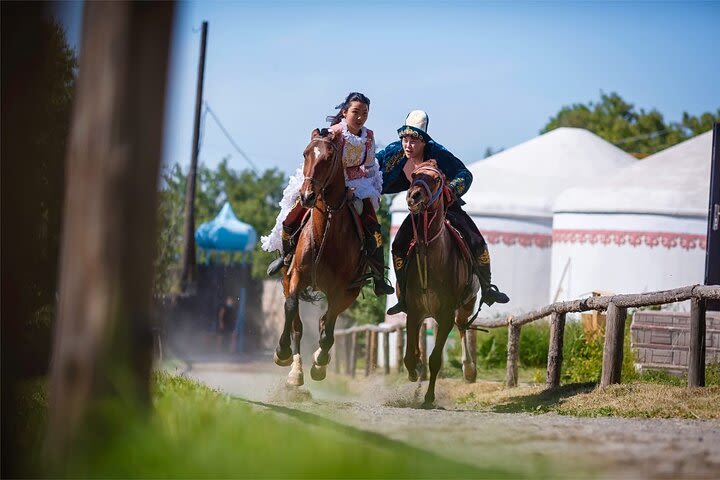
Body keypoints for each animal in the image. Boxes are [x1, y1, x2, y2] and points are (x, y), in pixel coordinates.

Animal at [276, 127, 366, 386]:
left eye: (328, 158)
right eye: (306, 153)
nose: (307, 196)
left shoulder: (341, 290)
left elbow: (329, 327)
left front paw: (320, 362)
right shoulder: (296, 276)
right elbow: (291, 309)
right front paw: (282, 351)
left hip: (350, 293)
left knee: (325, 322)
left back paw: (317, 361)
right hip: (287, 280)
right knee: (298, 324)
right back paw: (295, 371)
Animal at [404, 159, 478, 406]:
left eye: (437, 179)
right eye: (414, 175)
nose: (414, 196)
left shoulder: (445, 315)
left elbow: (435, 358)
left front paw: (428, 397)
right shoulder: (414, 311)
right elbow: (409, 355)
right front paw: (414, 369)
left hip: (467, 304)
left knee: (463, 326)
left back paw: (469, 370)